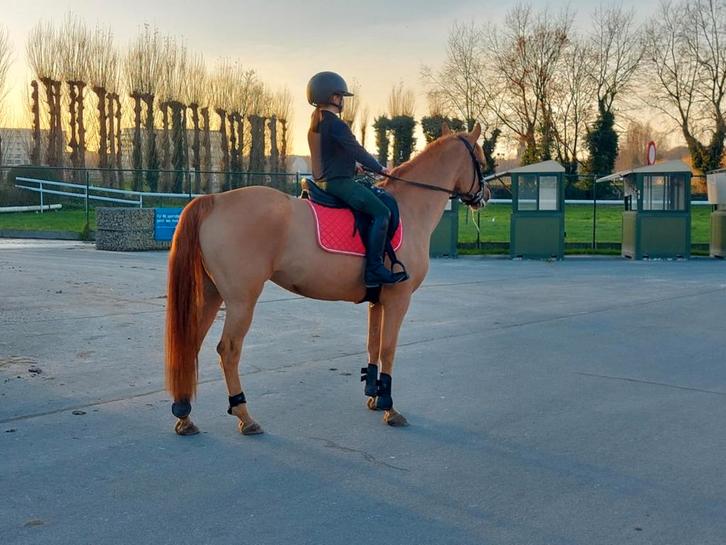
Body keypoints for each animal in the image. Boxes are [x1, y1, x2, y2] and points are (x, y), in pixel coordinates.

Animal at [164, 122, 491, 435]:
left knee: (191, 343)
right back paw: (244, 415)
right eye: (481, 160)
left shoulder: (378, 301)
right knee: (229, 350)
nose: (485, 196)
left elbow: (373, 345)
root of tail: (215, 200)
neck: (410, 207)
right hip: (241, 300)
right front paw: (389, 405)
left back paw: (184, 415)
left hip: (212, 294)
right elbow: (388, 348)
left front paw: (374, 395)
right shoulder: (399, 299)